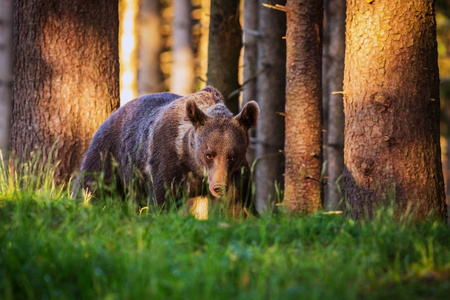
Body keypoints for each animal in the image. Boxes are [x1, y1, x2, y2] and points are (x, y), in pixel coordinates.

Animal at [72, 85, 258, 214]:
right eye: (209, 154)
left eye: (232, 156)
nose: (218, 187)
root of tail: (114, 113)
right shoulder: (167, 162)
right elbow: (161, 200)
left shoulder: (237, 176)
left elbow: (238, 206)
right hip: (109, 154)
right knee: (91, 184)